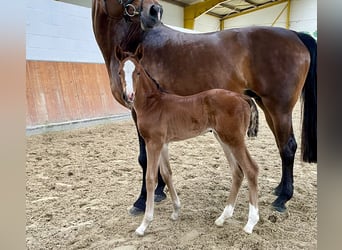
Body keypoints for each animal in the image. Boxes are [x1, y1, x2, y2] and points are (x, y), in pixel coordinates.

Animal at [92, 0, 316, 213]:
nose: (154, 11)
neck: (137, 38)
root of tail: (295, 35)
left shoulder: (137, 112)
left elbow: (145, 158)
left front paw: (141, 201)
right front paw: (159, 191)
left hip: (279, 108)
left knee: (288, 147)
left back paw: (283, 198)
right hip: (267, 106)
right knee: (281, 145)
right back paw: (279, 189)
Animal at [117, 46, 260, 235]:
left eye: (138, 72)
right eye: (119, 72)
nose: (129, 96)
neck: (152, 104)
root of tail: (242, 97)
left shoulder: (153, 143)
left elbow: (150, 178)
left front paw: (144, 224)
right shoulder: (163, 143)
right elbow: (167, 174)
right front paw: (176, 211)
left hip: (234, 139)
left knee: (251, 169)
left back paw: (251, 222)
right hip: (224, 138)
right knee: (237, 172)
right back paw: (222, 218)